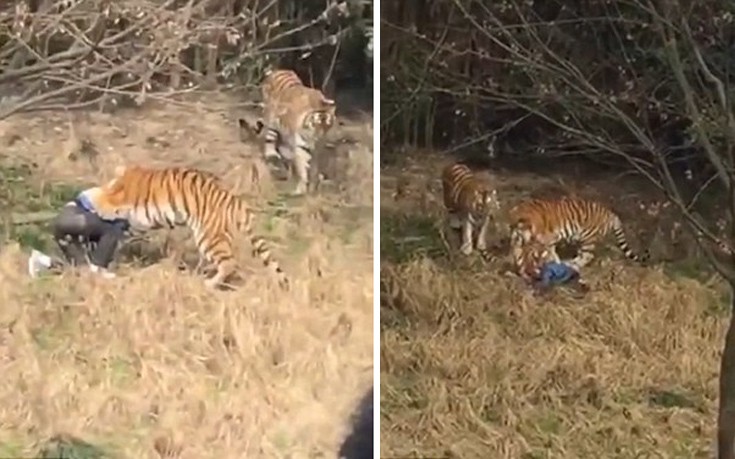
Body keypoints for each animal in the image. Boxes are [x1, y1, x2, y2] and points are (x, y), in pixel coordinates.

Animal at [260, 68, 338, 196]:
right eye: (315, 124)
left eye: (327, 125)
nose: (319, 137)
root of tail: (277, 70)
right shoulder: (301, 146)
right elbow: (302, 167)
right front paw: (301, 189)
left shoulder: (317, 149)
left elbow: (314, 168)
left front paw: (313, 186)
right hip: (270, 119)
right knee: (269, 137)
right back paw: (272, 155)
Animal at [508, 195, 652, 274]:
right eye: (513, 227)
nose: (516, 235)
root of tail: (611, 214)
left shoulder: (548, 239)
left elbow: (550, 252)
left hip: (588, 238)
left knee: (587, 256)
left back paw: (571, 264)